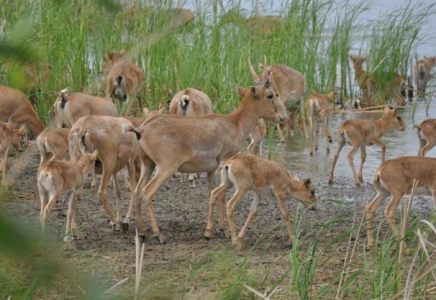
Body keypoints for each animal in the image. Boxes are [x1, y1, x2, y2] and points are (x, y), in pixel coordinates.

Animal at [124, 56, 288, 244]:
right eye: (270, 95)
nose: (284, 116)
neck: (235, 123)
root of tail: (141, 129)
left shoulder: (211, 170)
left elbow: (212, 193)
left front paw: (212, 228)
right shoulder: (226, 160)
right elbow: (222, 195)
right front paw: (222, 230)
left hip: (148, 164)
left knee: (137, 192)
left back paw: (143, 232)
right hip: (166, 167)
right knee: (147, 192)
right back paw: (159, 234)